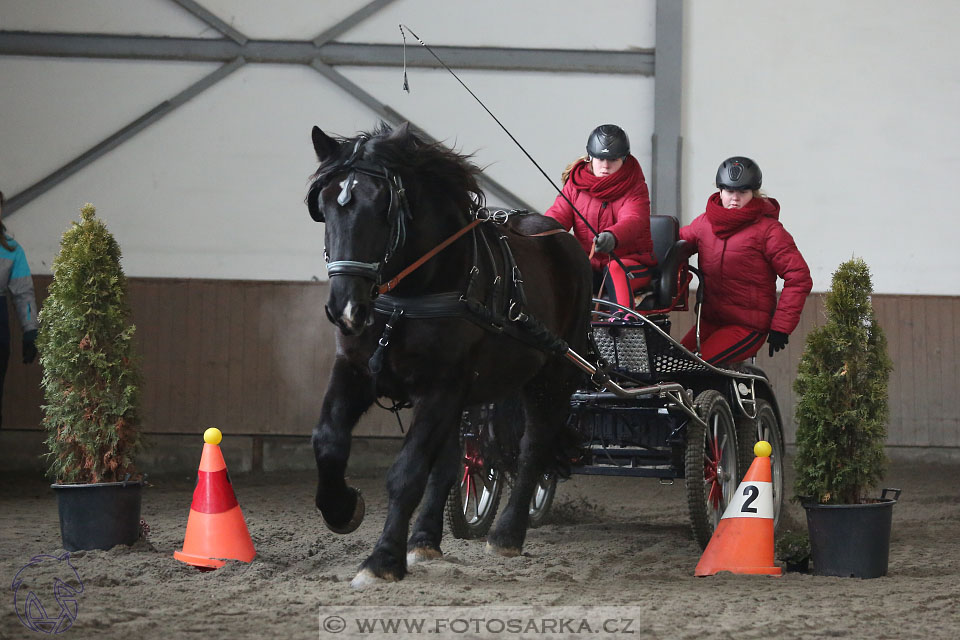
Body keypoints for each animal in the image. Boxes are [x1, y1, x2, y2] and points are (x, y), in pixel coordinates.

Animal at [308, 122, 592, 588]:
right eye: (325, 204)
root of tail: (564, 241)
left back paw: (507, 534)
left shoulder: (441, 387)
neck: (410, 295)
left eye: (383, 206)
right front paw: (343, 508)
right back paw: (425, 541)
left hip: (552, 376)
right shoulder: (355, 369)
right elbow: (329, 441)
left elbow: (407, 471)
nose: (345, 308)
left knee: (533, 446)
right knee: (452, 460)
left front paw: (382, 560)